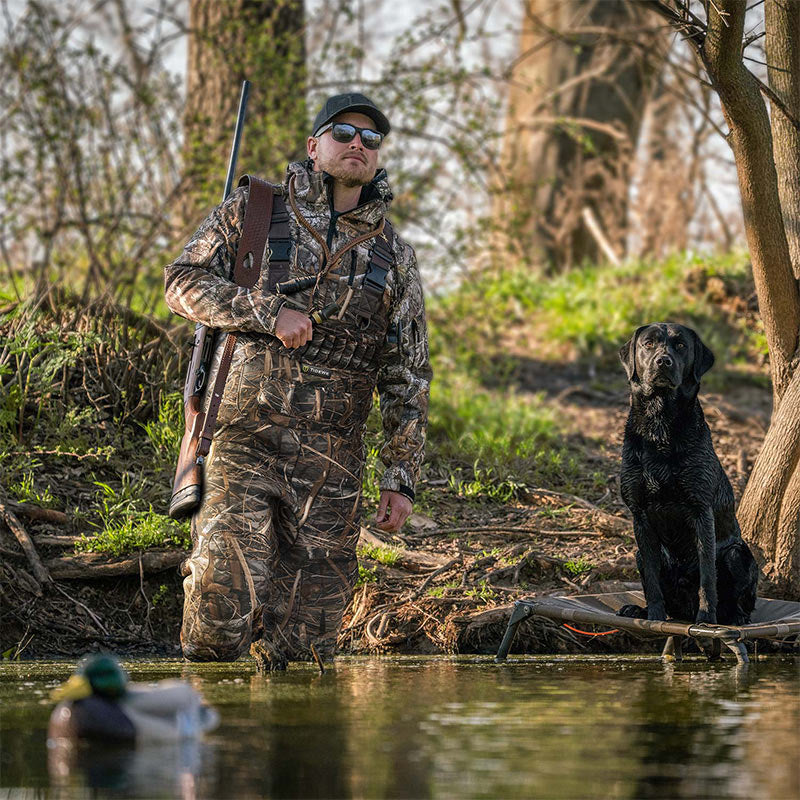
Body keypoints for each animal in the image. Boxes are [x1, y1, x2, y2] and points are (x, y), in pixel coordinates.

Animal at [620, 320, 756, 624]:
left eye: (680, 345)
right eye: (648, 344)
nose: (663, 361)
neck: (660, 426)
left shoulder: (701, 511)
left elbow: (707, 577)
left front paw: (706, 618)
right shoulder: (639, 515)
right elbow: (652, 580)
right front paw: (653, 616)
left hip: (737, 554)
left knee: (741, 601)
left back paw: (733, 617)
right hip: (638, 554)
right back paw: (639, 610)